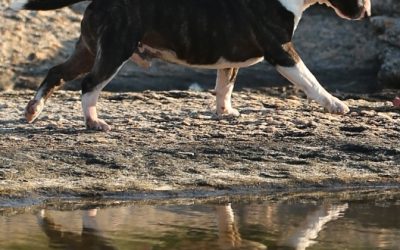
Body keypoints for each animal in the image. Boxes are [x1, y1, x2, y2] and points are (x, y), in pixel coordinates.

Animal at [10, 0, 372, 132]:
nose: (366, 10)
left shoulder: (231, 57)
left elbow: (225, 85)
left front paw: (225, 113)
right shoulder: (282, 52)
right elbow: (311, 81)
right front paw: (337, 105)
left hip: (88, 49)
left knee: (57, 73)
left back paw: (31, 111)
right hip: (114, 51)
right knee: (89, 85)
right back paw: (93, 122)